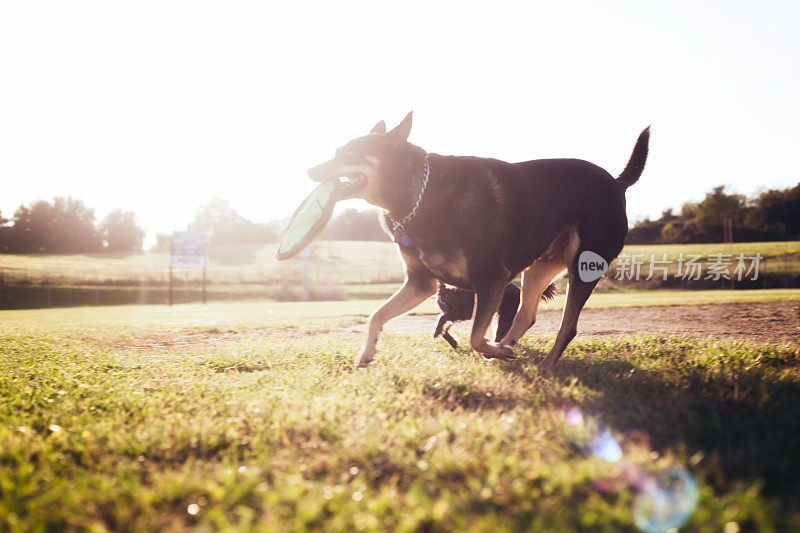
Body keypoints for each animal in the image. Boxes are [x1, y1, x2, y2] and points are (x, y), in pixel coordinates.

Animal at [306, 112, 648, 370]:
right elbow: (376, 314)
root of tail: (618, 183)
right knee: (525, 315)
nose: (309, 170)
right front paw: (366, 353)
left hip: (583, 267)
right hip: (538, 269)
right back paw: (505, 349)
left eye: (347, 155)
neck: (417, 195)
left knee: (567, 325)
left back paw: (542, 364)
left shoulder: (491, 280)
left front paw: (493, 350)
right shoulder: (421, 283)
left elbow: (473, 336)